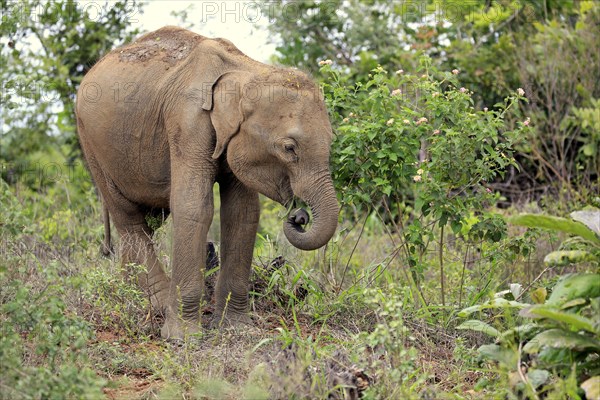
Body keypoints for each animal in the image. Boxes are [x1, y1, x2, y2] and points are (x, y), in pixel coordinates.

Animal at [75, 27, 338, 340]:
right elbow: (194, 207)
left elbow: (243, 214)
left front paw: (236, 328)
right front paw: (182, 338)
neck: (247, 70)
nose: (298, 216)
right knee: (128, 219)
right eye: (289, 148)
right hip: (92, 146)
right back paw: (158, 304)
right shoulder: (186, 122)